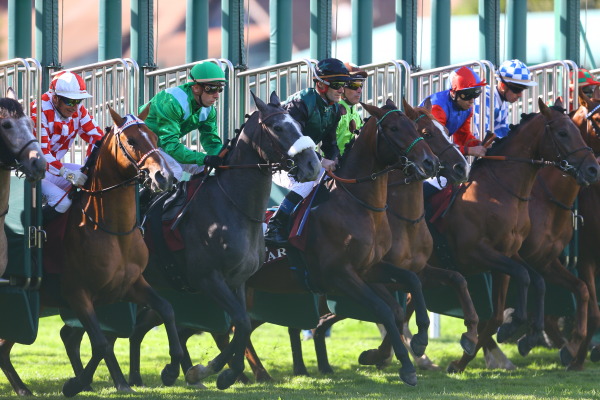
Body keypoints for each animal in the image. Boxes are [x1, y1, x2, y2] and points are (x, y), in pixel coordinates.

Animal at [0, 104, 180, 396]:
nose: (164, 177)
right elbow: (101, 341)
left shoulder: (131, 284)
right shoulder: (78, 294)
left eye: (155, 137)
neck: (112, 231)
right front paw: (78, 383)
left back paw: (23, 388)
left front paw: (171, 369)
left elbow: (166, 309)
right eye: (132, 140)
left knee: (6, 346)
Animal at [245, 98, 440, 386]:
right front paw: (405, 366)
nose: (429, 163)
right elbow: (383, 309)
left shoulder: (368, 268)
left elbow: (408, 288)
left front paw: (419, 341)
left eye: (415, 128)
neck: (357, 204)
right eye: (394, 128)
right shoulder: (339, 275)